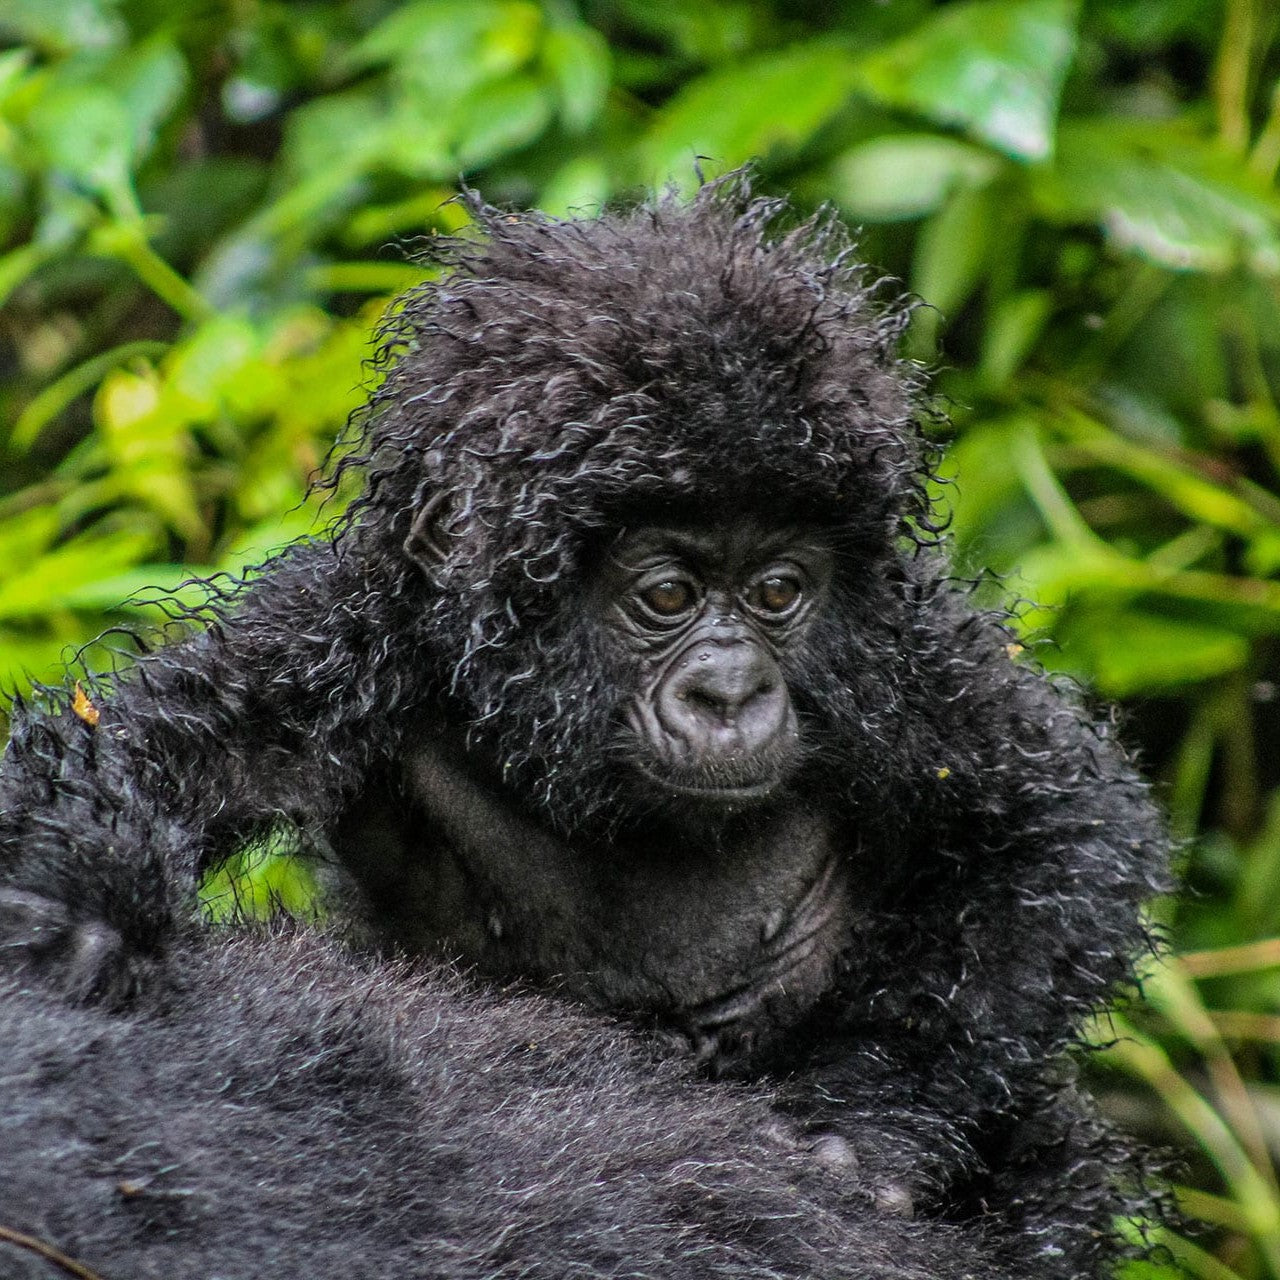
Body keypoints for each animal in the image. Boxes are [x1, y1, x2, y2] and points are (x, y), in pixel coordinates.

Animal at [0, 172, 1172, 1280]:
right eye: (666, 594)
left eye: (778, 591)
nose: (731, 691)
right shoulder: (360, 627)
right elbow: (159, 745)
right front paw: (81, 906)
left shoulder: (897, 651)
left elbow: (1053, 820)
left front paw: (872, 1123)